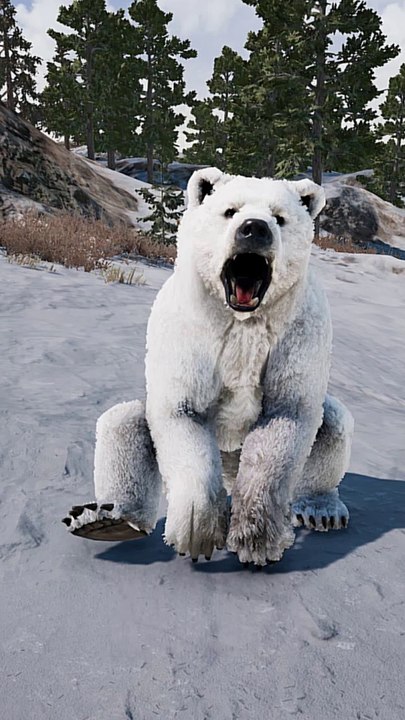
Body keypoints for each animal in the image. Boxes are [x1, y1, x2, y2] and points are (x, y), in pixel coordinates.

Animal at [63, 167, 354, 566]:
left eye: (280, 217)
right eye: (230, 211)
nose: (254, 229)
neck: (241, 320)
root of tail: (230, 463)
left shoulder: (297, 332)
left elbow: (287, 415)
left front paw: (254, 540)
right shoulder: (191, 330)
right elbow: (180, 411)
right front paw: (197, 533)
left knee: (333, 424)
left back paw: (321, 510)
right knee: (122, 424)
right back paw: (105, 519)